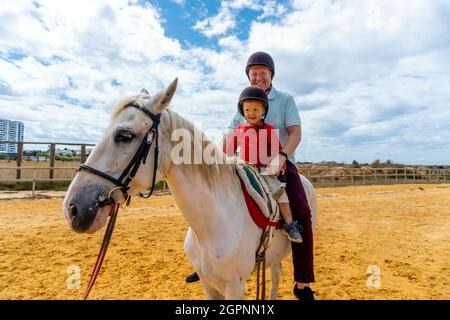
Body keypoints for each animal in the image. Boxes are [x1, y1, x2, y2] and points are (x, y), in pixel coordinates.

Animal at [62, 79, 316, 298]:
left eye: (124, 135)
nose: (72, 209)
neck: (213, 223)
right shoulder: (207, 282)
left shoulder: (234, 285)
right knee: (276, 273)